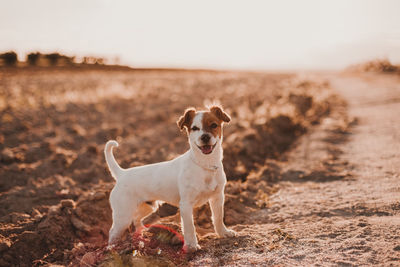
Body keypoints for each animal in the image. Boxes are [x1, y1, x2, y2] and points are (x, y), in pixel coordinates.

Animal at [104, 105, 236, 252]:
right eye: (195, 128)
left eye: (214, 125)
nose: (205, 137)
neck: (205, 165)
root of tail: (122, 173)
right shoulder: (186, 205)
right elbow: (189, 227)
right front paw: (191, 246)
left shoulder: (217, 198)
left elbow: (218, 218)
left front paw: (223, 233)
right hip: (123, 215)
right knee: (113, 231)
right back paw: (112, 248)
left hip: (149, 206)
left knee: (136, 219)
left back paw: (142, 234)